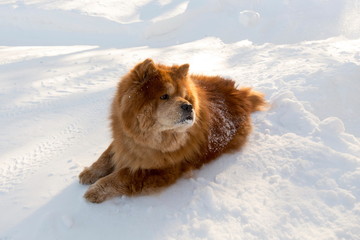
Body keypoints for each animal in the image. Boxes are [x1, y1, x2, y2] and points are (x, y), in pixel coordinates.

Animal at [78, 58, 264, 202]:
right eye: (164, 96)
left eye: (184, 96)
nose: (188, 106)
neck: (147, 138)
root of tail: (239, 94)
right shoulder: (123, 141)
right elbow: (105, 156)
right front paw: (89, 173)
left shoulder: (160, 170)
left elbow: (121, 176)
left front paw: (95, 190)